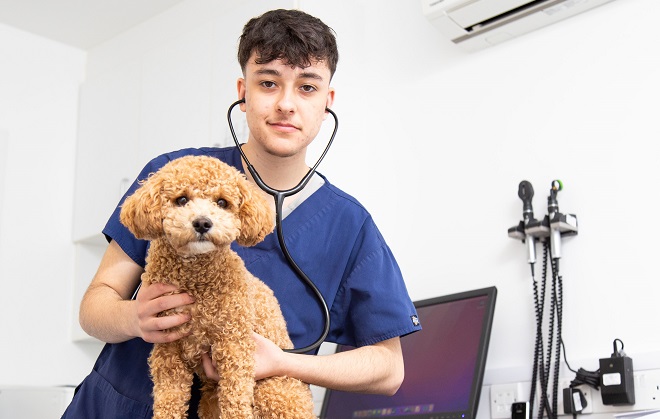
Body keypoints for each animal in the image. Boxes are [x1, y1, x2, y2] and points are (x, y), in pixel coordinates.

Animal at [120, 156, 314, 418]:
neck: (196, 280)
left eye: (222, 202)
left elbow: (235, 400)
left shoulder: (234, 345)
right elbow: (169, 399)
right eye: (182, 199)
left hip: (273, 392)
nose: (203, 222)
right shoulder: (168, 349)